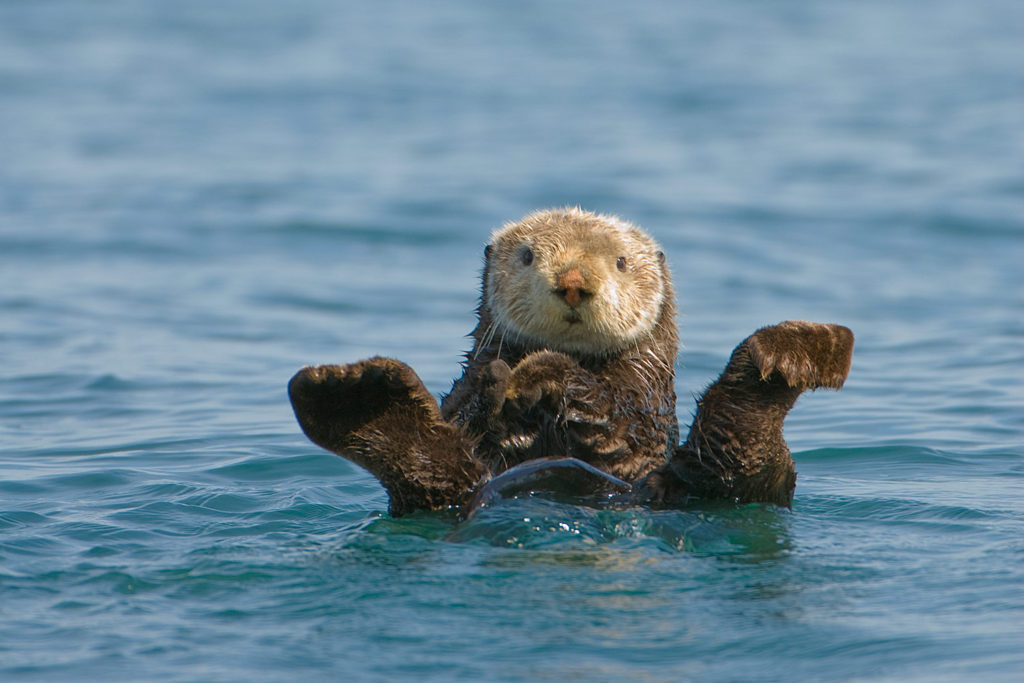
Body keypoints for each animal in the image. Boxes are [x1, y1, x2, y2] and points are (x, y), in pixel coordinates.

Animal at [288, 208, 856, 518]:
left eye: (622, 263)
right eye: (527, 256)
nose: (574, 281)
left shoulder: (642, 402)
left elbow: (613, 417)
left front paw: (539, 374)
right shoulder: (466, 393)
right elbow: (471, 410)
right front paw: (507, 383)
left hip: (717, 484)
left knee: (742, 450)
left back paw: (794, 352)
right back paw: (354, 395)